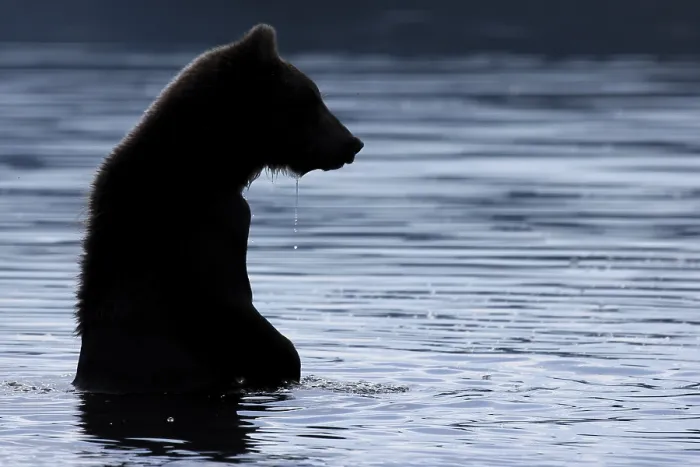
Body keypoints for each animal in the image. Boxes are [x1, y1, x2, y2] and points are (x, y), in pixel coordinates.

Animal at [72, 24, 364, 394]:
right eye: (312, 98)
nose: (353, 142)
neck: (212, 164)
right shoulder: (205, 231)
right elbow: (229, 306)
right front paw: (284, 359)